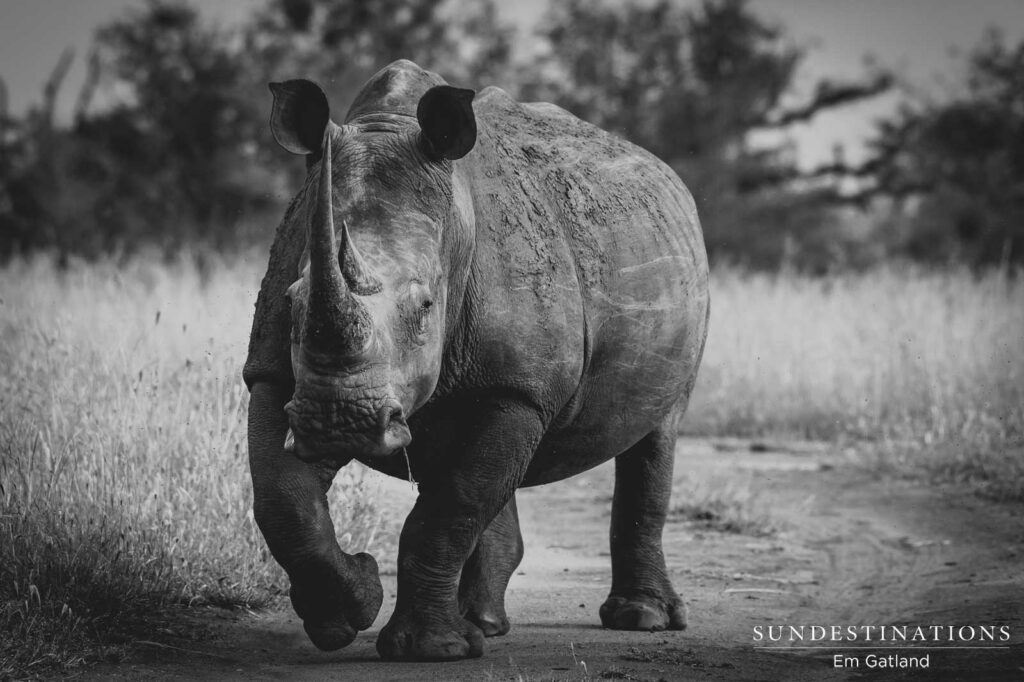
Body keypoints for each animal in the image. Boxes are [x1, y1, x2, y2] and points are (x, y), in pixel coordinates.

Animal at [243, 60, 709, 662]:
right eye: (293, 302)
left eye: (425, 307)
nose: (338, 420)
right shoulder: (276, 374)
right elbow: (283, 500)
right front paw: (351, 609)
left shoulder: (519, 389)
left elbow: (455, 505)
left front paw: (429, 650)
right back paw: (483, 623)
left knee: (658, 429)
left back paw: (641, 619)